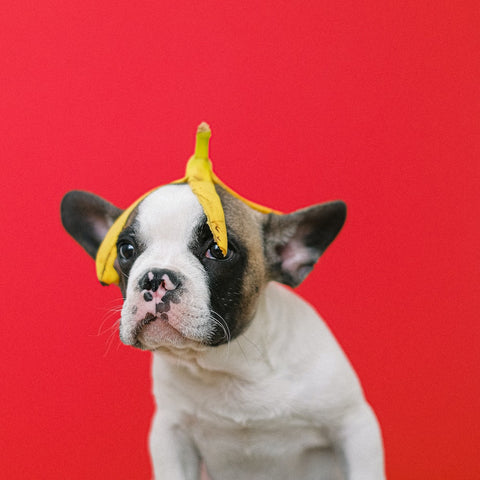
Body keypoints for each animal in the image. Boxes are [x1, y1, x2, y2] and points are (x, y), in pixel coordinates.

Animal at [60, 181, 384, 480]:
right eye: (126, 249)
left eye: (217, 250)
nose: (155, 277)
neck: (230, 368)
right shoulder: (171, 435)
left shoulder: (354, 427)